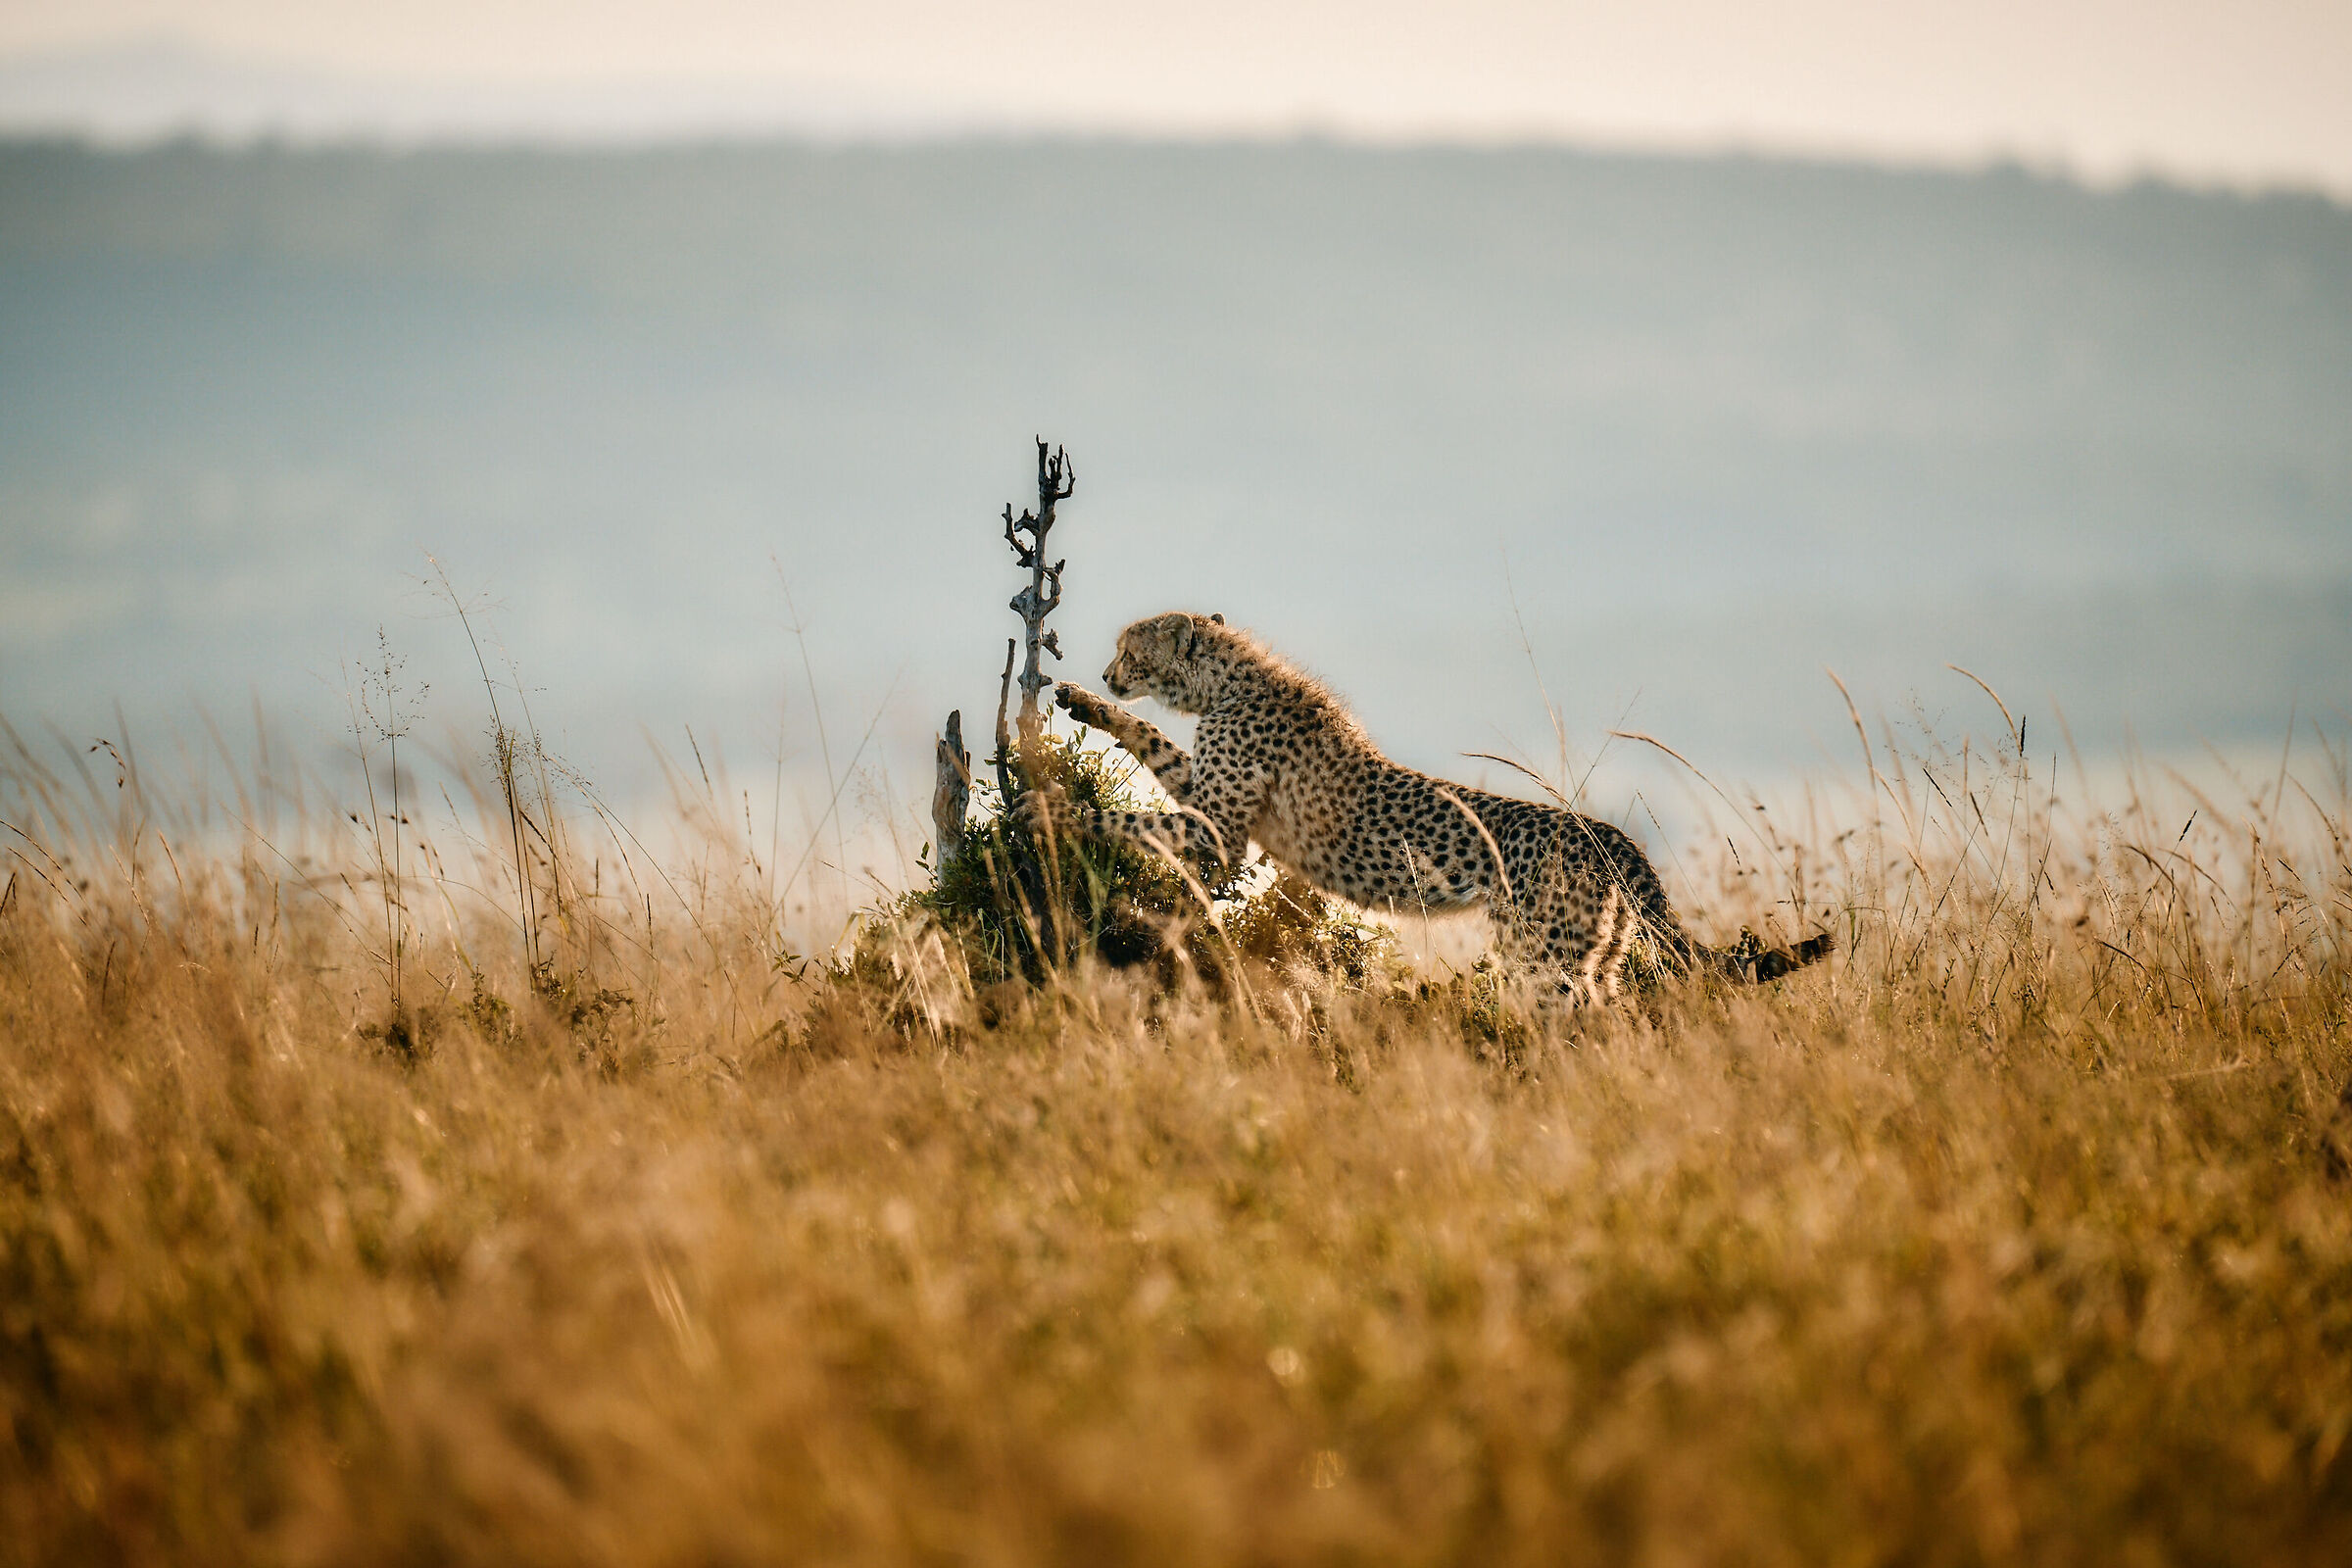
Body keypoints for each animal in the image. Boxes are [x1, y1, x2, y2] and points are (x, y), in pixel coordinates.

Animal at [1036, 610, 1832, 1004]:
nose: (1108, 669)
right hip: (1597, 957)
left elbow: (1134, 818)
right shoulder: (1212, 806)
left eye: (1128, 648)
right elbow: (1149, 740)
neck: (1227, 682)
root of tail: (1602, 829)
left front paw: (1052, 814)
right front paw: (1083, 703)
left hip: (1543, 964)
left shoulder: (1218, 831)